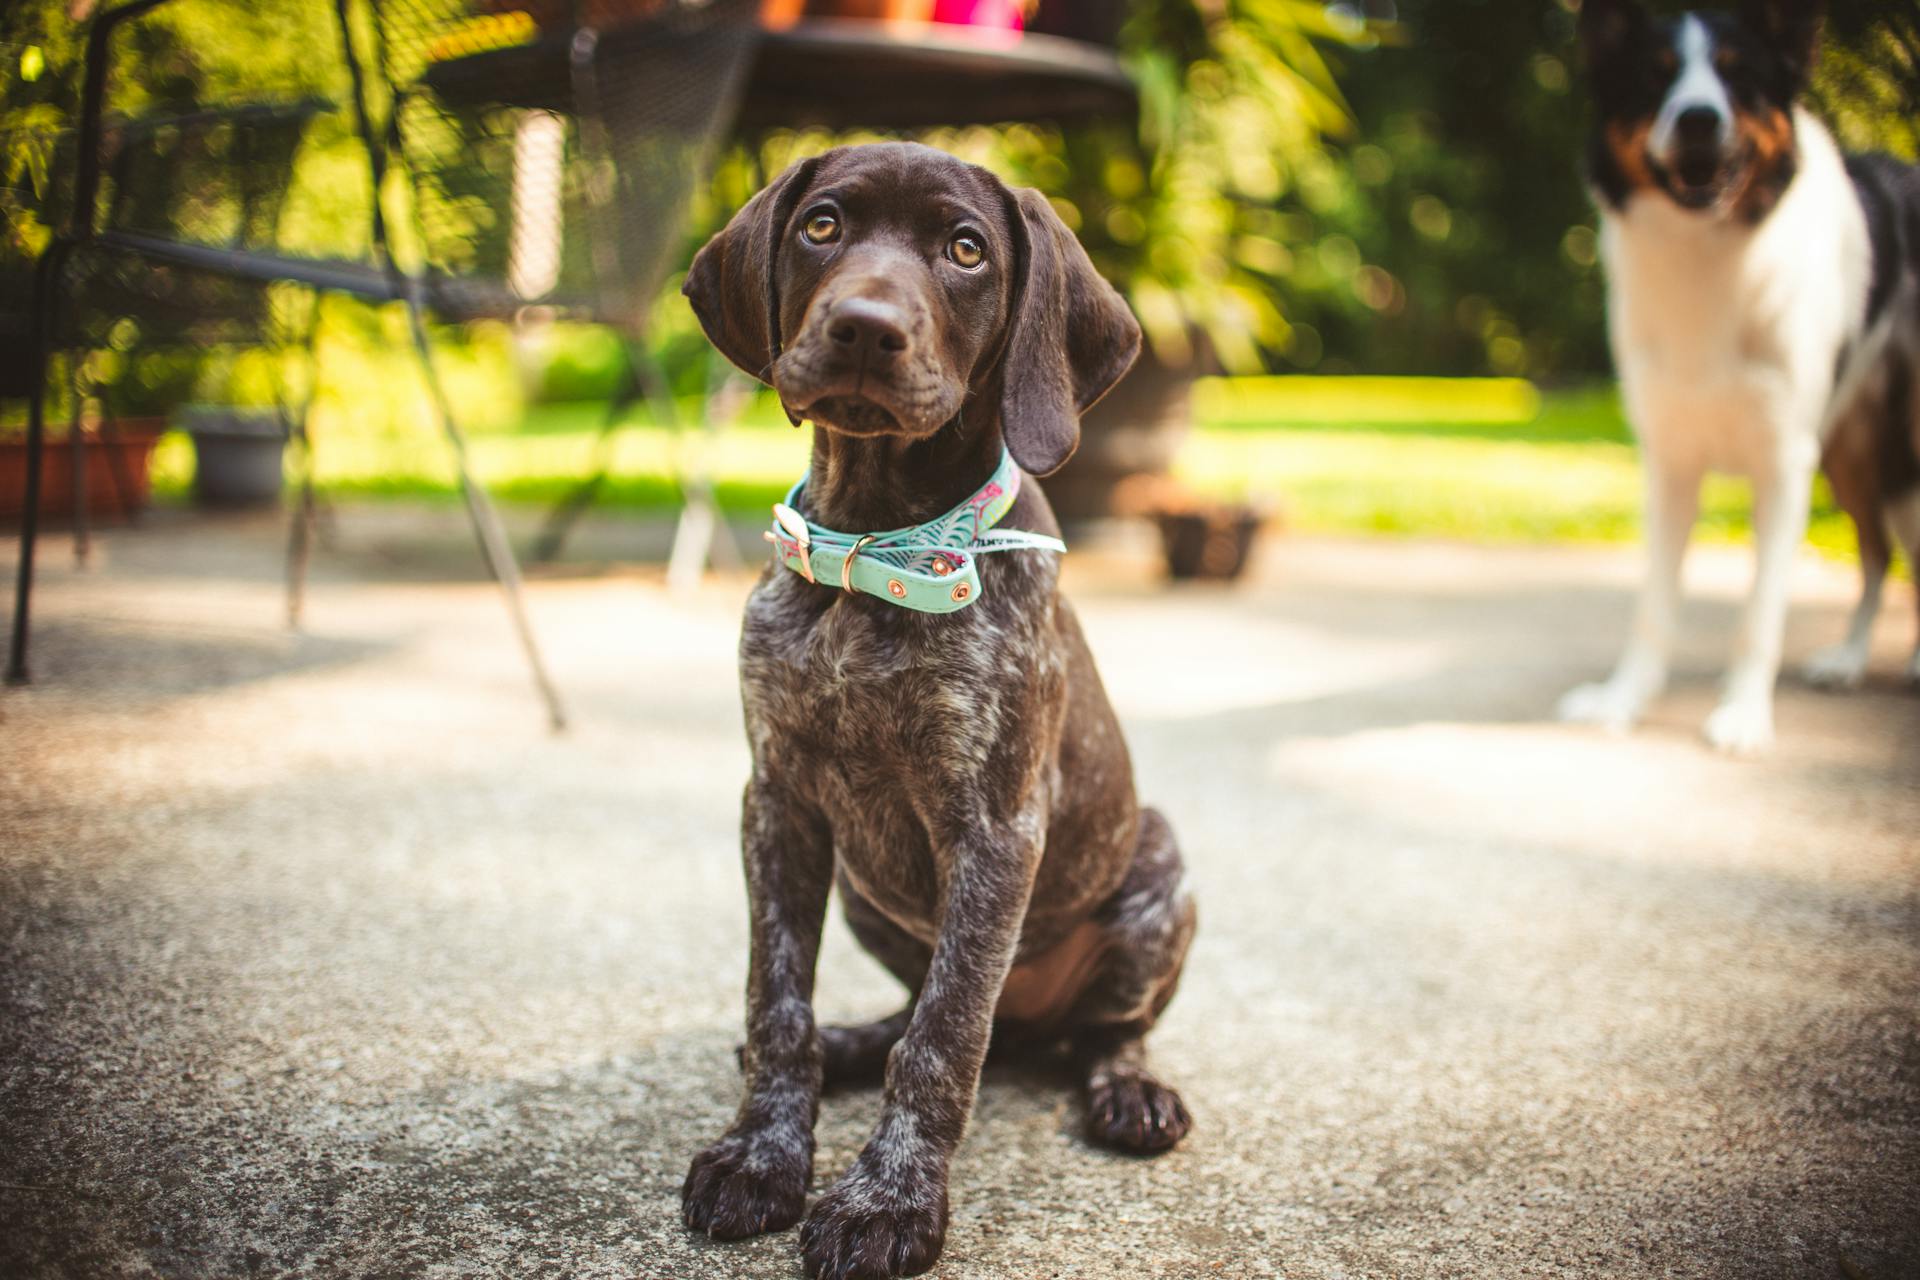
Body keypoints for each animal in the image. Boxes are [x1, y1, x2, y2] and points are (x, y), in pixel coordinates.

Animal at [679, 142, 1198, 1280]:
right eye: (822, 225)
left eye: (966, 250)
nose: (867, 327)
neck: (874, 545)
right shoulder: (777, 803)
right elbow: (777, 998)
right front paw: (761, 1151)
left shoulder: (995, 828)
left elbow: (947, 1035)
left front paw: (889, 1201)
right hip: (870, 894)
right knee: (907, 1009)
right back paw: (848, 1043)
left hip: (1159, 872)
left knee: (1098, 1030)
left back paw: (1130, 1087)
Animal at [1559, 0, 1920, 752]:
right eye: (1655, 75)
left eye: (1738, 75)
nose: (1698, 119)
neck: (1709, 258)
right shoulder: (1669, 458)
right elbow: (1654, 601)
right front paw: (1623, 699)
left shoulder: (1783, 460)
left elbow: (1761, 610)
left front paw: (1744, 714)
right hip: (1853, 447)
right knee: (1876, 550)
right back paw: (1847, 659)